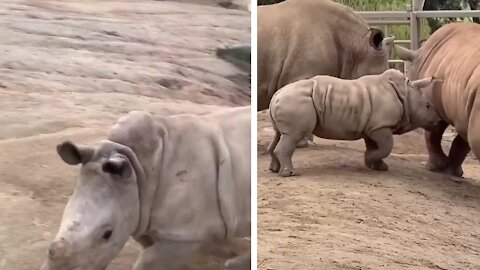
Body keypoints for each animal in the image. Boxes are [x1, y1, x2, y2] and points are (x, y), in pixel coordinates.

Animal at [268, 68, 440, 176]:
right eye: (427, 105)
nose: (438, 120)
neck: (405, 93)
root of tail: (275, 95)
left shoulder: (372, 126)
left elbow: (375, 146)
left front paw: (378, 166)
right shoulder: (381, 126)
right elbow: (386, 147)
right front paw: (369, 159)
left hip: (286, 101)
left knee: (279, 135)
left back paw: (275, 170)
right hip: (294, 101)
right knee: (293, 135)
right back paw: (290, 174)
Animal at [394, 21, 480, 177]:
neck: (420, 57)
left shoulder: (433, 104)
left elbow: (432, 134)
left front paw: (434, 168)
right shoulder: (465, 109)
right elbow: (461, 143)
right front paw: (453, 172)